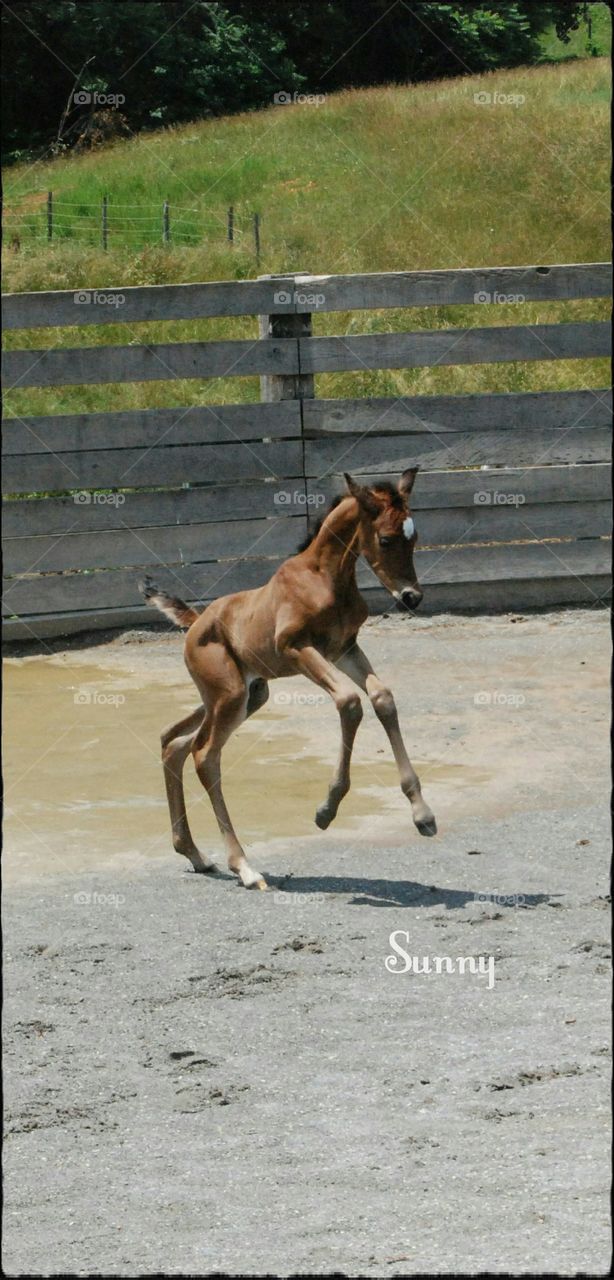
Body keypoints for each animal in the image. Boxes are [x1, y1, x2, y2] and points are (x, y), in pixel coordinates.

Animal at [140, 468, 437, 890]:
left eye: (414, 536)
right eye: (385, 538)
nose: (411, 597)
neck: (326, 578)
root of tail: (196, 622)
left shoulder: (345, 649)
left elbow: (381, 697)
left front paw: (423, 814)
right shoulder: (296, 647)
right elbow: (349, 702)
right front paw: (326, 810)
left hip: (245, 694)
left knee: (175, 741)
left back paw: (195, 855)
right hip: (230, 695)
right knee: (204, 754)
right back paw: (244, 867)